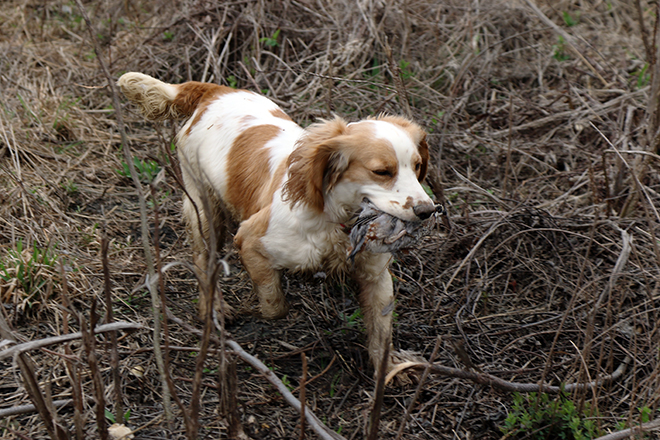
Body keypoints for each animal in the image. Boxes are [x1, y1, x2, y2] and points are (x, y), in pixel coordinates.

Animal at [118, 72, 438, 378]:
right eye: (382, 172)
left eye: (417, 166)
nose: (428, 211)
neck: (334, 220)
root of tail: (214, 90)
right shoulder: (250, 239)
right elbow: (275, 305)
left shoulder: (375, 276)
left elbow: (381, 332)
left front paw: (393, 370)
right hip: (205, 209)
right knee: (203, 261)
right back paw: (215, 309)